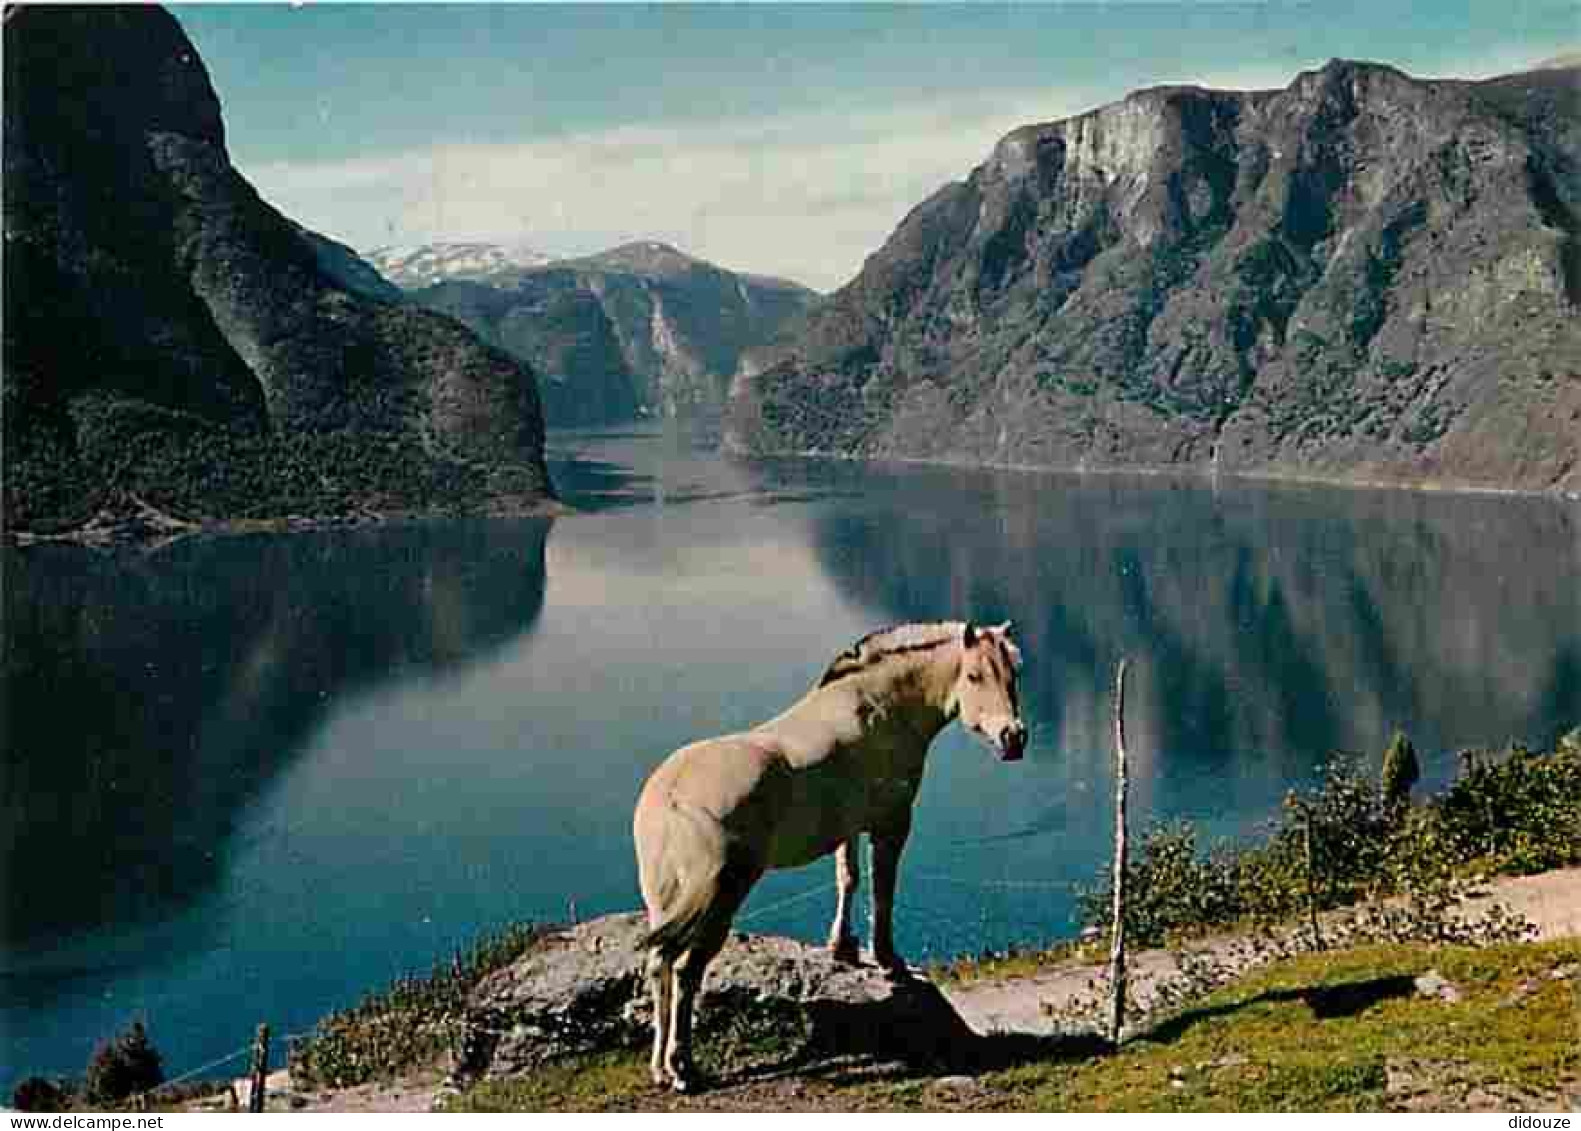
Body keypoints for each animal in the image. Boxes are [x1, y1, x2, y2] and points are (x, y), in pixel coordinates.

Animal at [629, 623, 1024, 1094]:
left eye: (1014, 673)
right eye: (974, 676)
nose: (1013, 738)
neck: (883, 706)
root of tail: (673, 796)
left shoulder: (847, 828)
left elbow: (847, 877)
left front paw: (843, 947)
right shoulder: (892, 822)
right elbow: (882, 888)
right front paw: (888, 959)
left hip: (665, 901)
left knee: (660, 964)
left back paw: (659, 1067)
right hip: (721, 898)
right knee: (687, 971)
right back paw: (684, 1068)